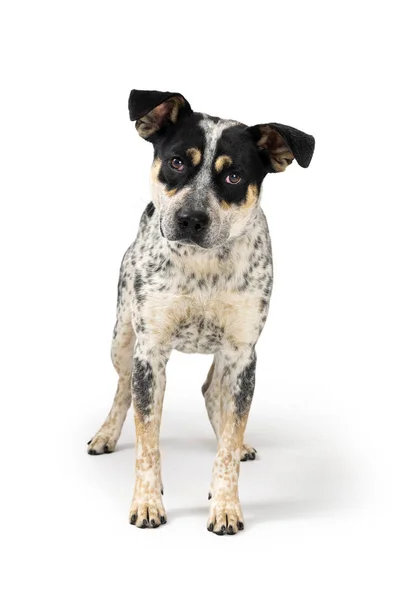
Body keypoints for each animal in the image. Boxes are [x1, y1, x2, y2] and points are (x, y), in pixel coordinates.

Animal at [87, 91, 316, 536]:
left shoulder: (243, 353)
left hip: (226, 360)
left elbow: (228, 439)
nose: (191, 218)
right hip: (122, 339)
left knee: (214, 394)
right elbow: (148, 439)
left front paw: (226, 505)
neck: (202, 268)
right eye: (177, 162)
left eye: (234, 177)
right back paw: (106, 435)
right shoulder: (149, 352)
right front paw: (147, 501)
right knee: (123, 389)